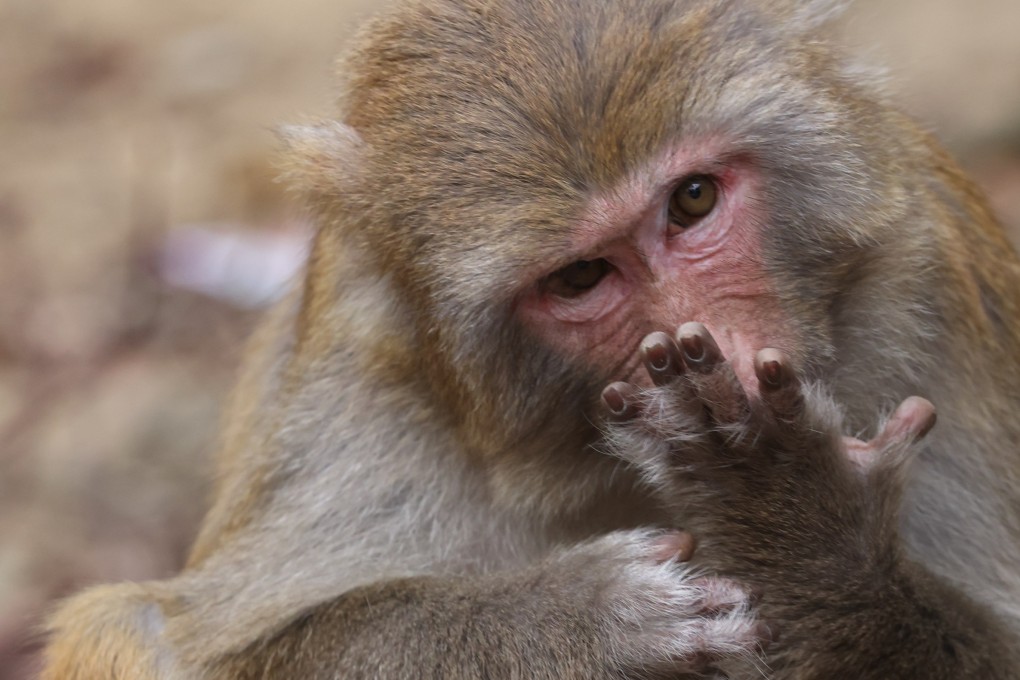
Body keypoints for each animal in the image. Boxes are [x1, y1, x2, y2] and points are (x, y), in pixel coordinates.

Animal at [43, 0, 1020, 676]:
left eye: (693, 199)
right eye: (580, 278)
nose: (717, 362)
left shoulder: (928, 287)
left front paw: (795, 525)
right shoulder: (364, 371)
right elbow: (157, 638)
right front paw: (579, 622)